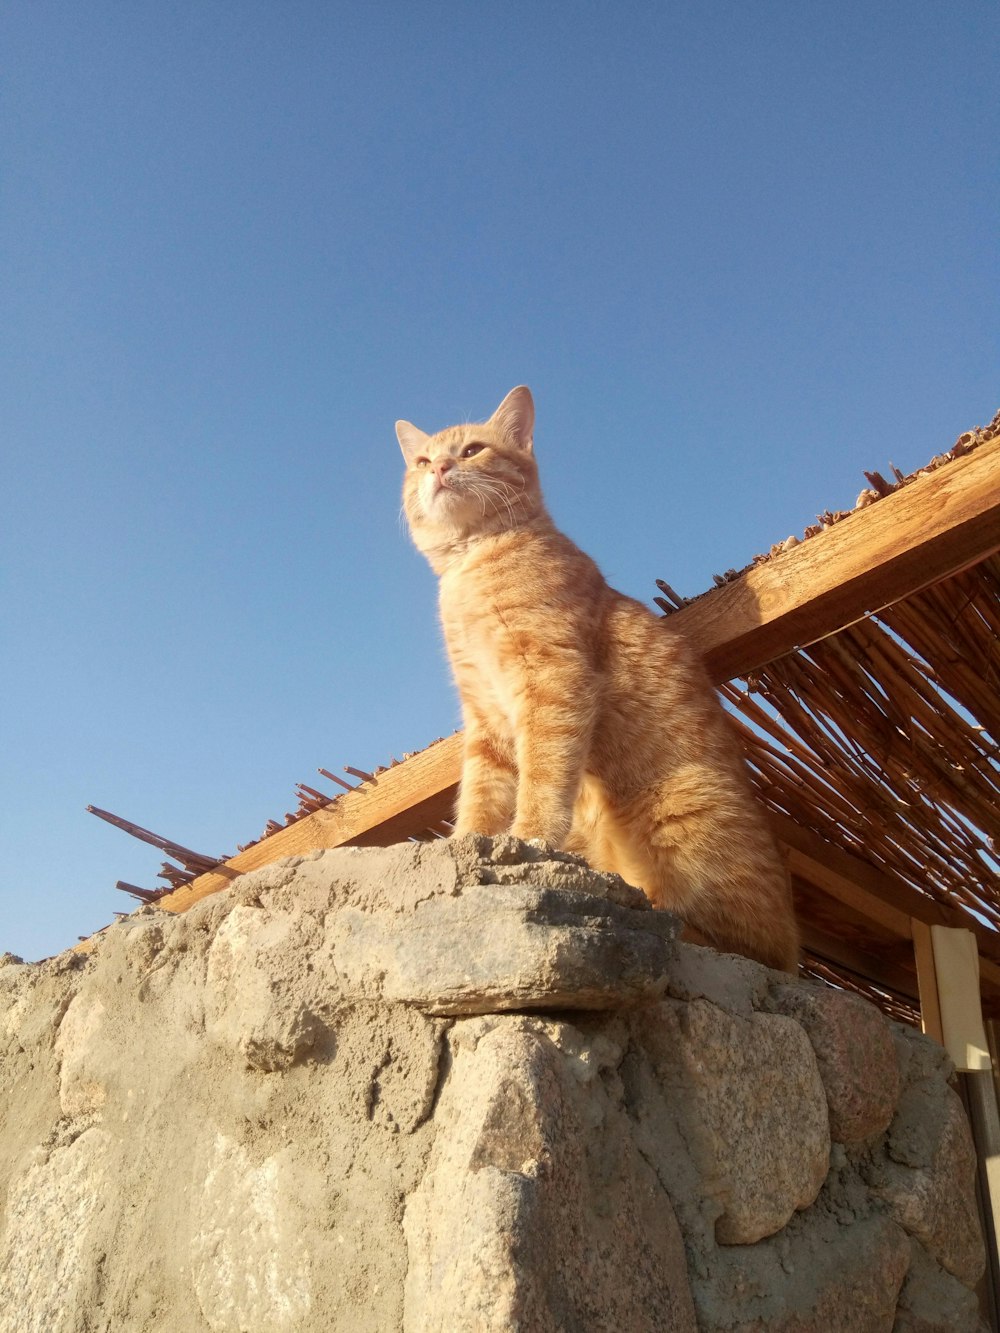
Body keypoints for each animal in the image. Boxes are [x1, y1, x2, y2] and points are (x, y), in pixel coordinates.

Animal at [397, 386, 800, 970]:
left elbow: (542, 778)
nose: (442, 468)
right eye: (423, 462)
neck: (471, 566)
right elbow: (480, 792)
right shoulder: (484, 712)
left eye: (472, 450)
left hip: (677, 813)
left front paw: (528, 838)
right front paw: (467, 842)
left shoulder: (553, 680)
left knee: (735, 943)